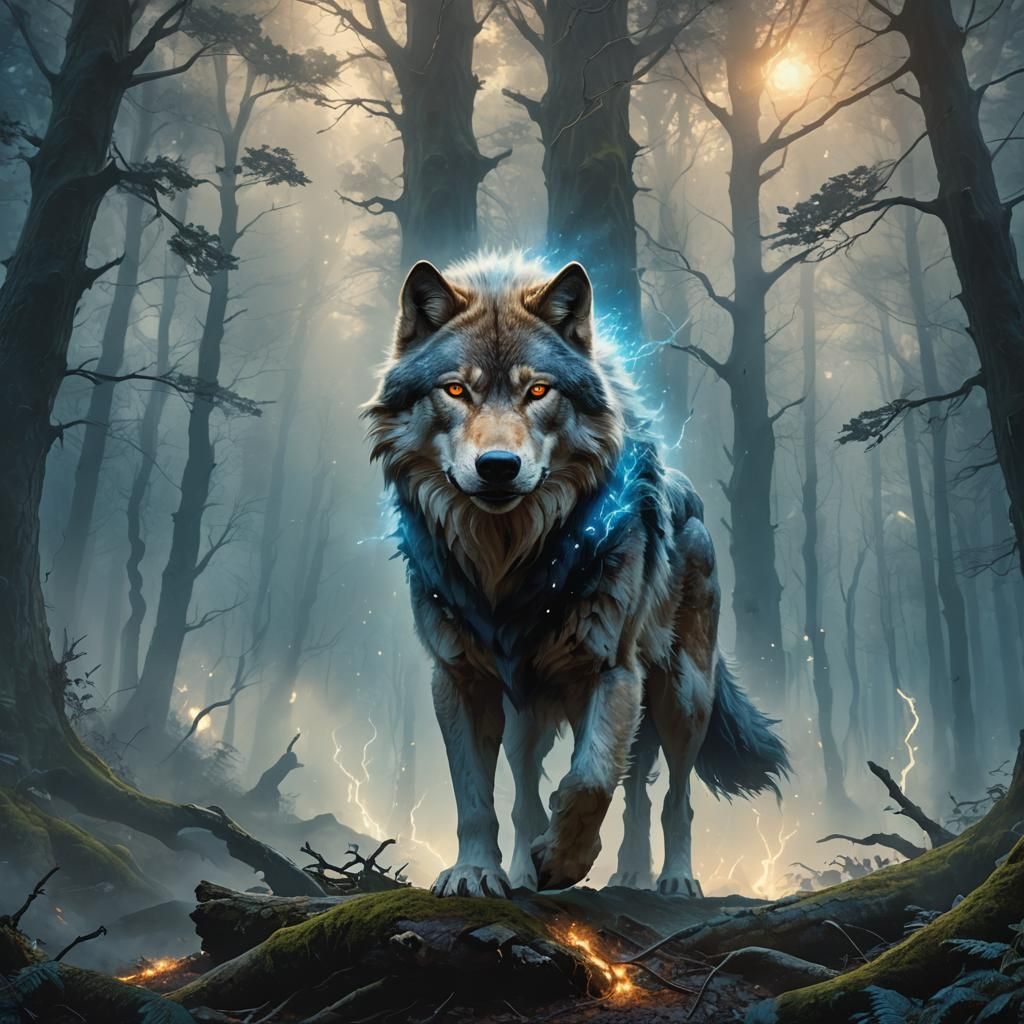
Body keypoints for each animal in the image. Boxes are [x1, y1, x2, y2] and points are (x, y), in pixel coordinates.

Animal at [364, 252, 788, 898]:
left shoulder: (611, 670)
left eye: (538, 390)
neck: (509, 565)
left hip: (680, 695)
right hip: (529, 717)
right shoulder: (458, 679)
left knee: (667, 796)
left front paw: (563, 861)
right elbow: (476, 798)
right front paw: (478, 872)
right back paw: (535, 870)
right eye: (456, 390)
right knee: (533, 792)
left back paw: (664, 879)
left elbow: (591, 779)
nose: (497, 466)